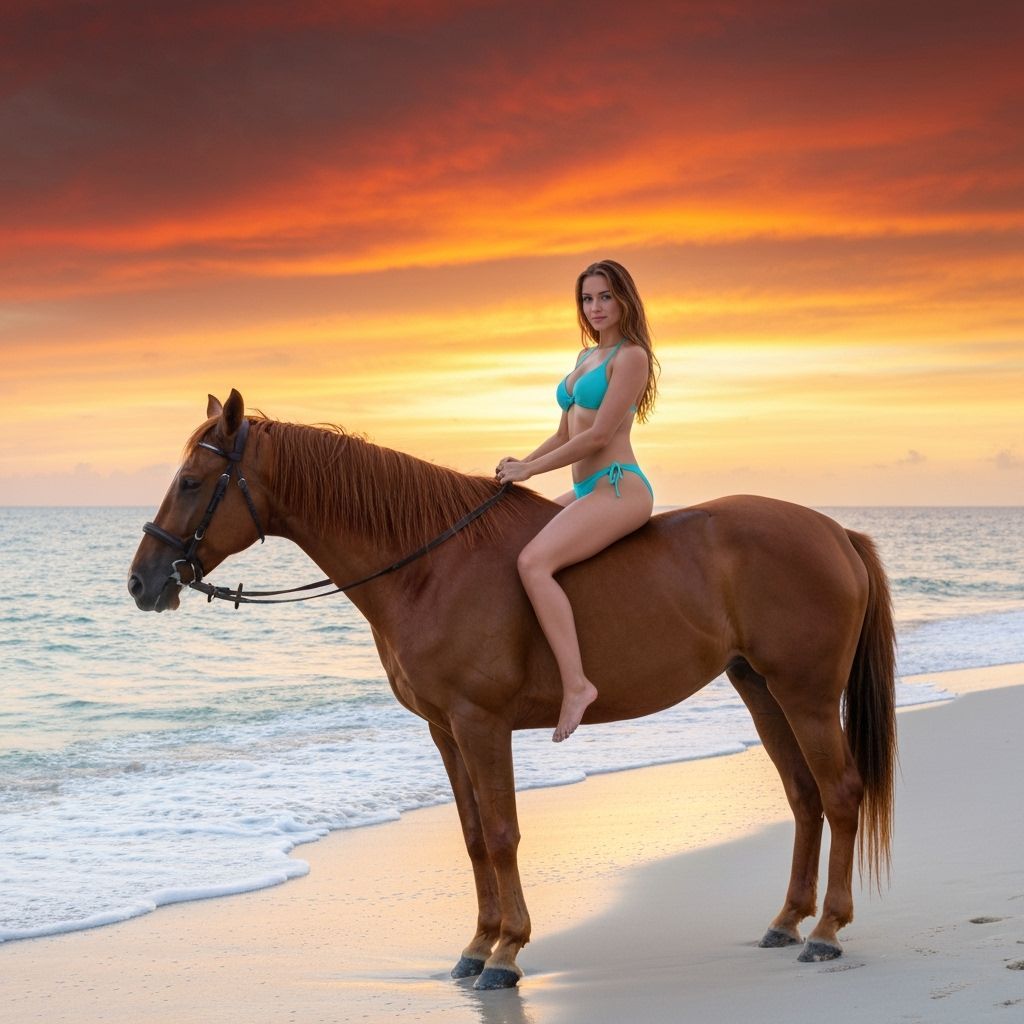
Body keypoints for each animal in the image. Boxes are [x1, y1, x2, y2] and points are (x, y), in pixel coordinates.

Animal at [128, 389, 897, 990]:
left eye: (192, 481)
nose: (141, 582)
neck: (428, 565)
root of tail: (834, 531)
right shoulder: (444, 729)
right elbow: (473, 837)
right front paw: (477, 946)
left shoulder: (481, 723)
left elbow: (501, 834)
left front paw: (507, 953)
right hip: (760, 689)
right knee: (802, 796)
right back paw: (787, 921)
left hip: (805, 695)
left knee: (839, 794)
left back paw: (827, 930)